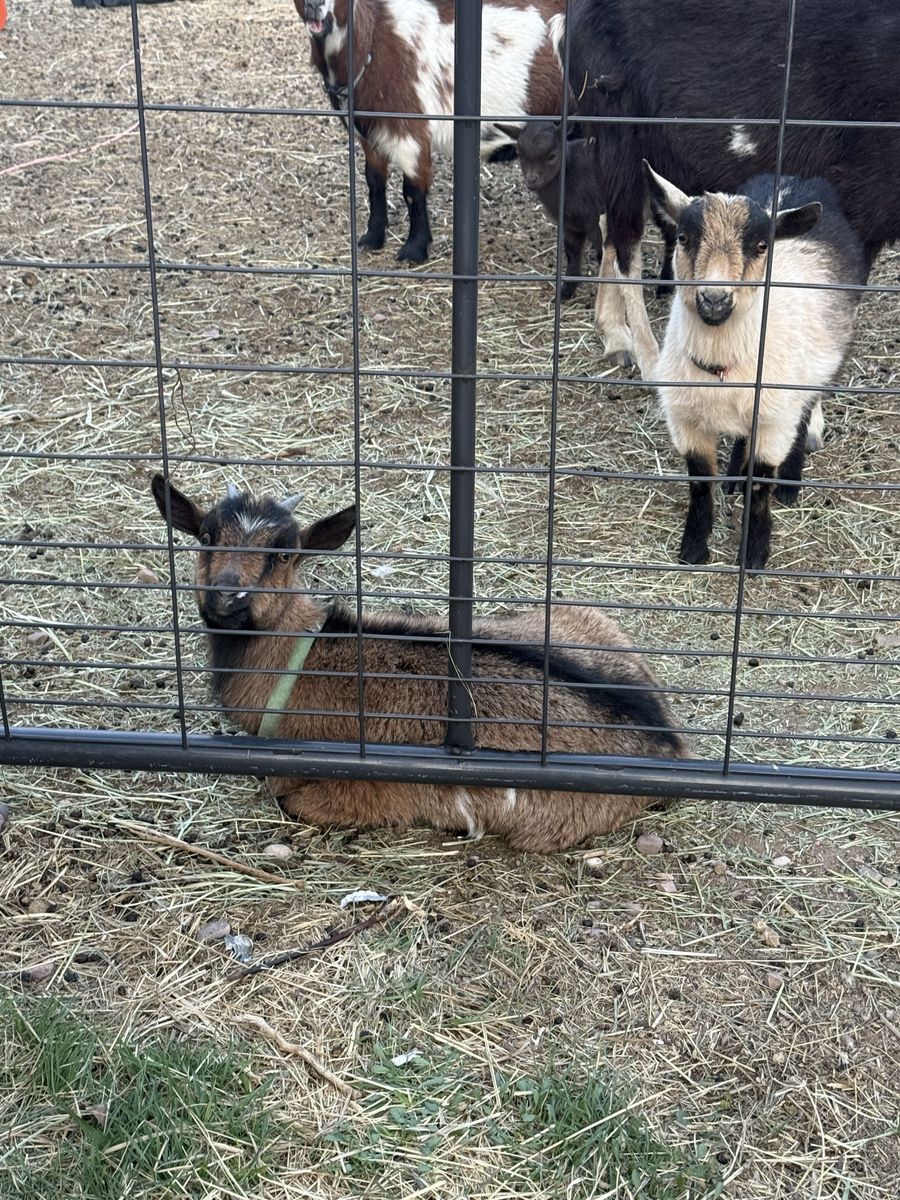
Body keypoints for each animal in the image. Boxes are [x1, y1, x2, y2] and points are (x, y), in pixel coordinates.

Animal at [151, 475, 686, 852]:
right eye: (205, 535)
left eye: (283, 553)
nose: (227, 594)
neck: (300, 658)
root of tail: (671, 745)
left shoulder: (353, 790)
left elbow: (289, 799)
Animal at [297, 0, 565, 262]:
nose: (314, 4)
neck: (372, 41)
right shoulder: (370, 134)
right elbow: (374, 181)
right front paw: (372, 237)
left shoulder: (411, 131)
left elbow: (413, 191)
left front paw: (414, 249)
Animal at [559, 0, 900, 385]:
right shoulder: (864, 204)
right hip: (618, 132)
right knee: (625, 246)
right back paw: (649, 360)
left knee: (610, 226)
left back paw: (616, 336)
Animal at [629, 166, 865, 571]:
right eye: (684, 237)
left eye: (760, 246)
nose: (715, 299)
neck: (722, 367)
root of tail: (796, 181)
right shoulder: (685, 421)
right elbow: (700, 483)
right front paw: (693, 549)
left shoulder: (775, 421)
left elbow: (761, 485)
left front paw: (754, 553)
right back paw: (734, 476)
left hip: (815, 370)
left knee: (806, 411)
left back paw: (789, 482)